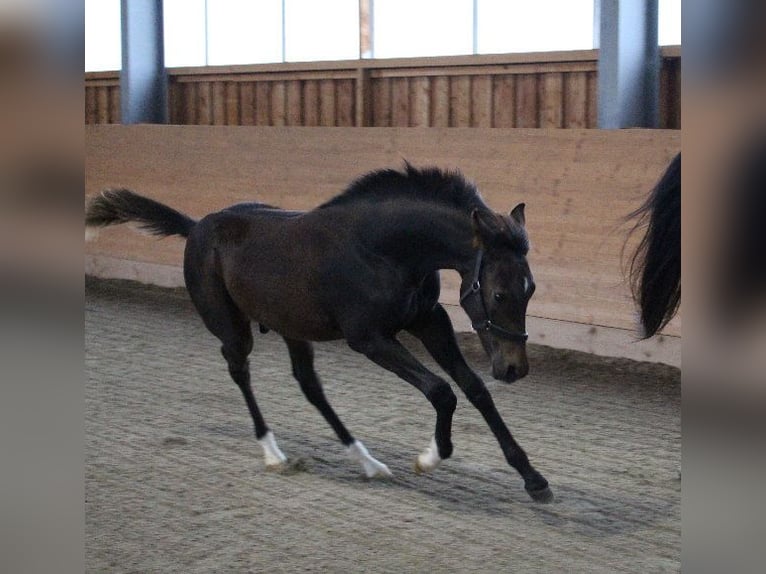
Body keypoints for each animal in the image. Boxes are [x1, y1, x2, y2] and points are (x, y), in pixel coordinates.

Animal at [85, 163, 553, 503]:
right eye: (497, 293)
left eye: (530, 288)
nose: (514, 369)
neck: (385, 249)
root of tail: (196, 226)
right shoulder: (369, 338)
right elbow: (442, 391)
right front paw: (430, 457)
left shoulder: (428, 320)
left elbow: (474, 390)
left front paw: (533, 478)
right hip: (233, 329)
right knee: (240, 372)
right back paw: (273, 454)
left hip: (293, 327)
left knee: (309, 386)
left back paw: (366, 462)